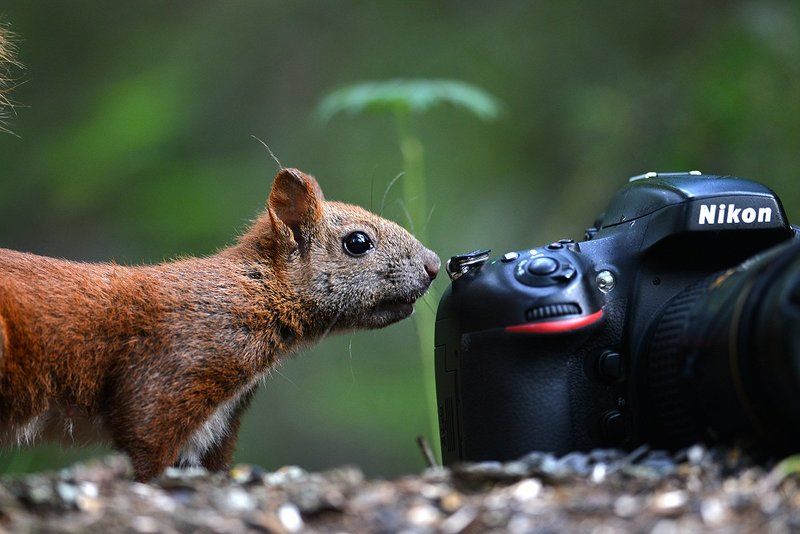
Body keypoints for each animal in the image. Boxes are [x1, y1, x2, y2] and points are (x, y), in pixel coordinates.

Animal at [0, 167, 440, 481]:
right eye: (358, 242)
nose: (434, 264)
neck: (250, 294)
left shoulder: (218, 422)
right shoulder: (171, 369)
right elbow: (146, 442)